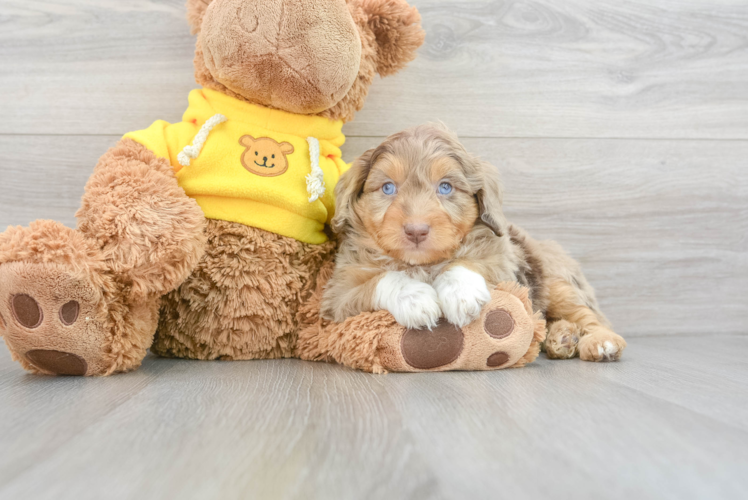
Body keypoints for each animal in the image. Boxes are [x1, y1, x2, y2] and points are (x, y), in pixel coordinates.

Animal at [322, 123, 624, 362]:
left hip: (556, 282)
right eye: (387, 188)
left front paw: (460, 291)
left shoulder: (505, 262)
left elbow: (470, 260)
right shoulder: (338, 297)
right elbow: (380, 280)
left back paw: (599, 341)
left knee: (588, 316)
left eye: (445, 187)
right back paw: (562, 337)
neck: (422, 264)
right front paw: (415, 298)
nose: (416, 231)